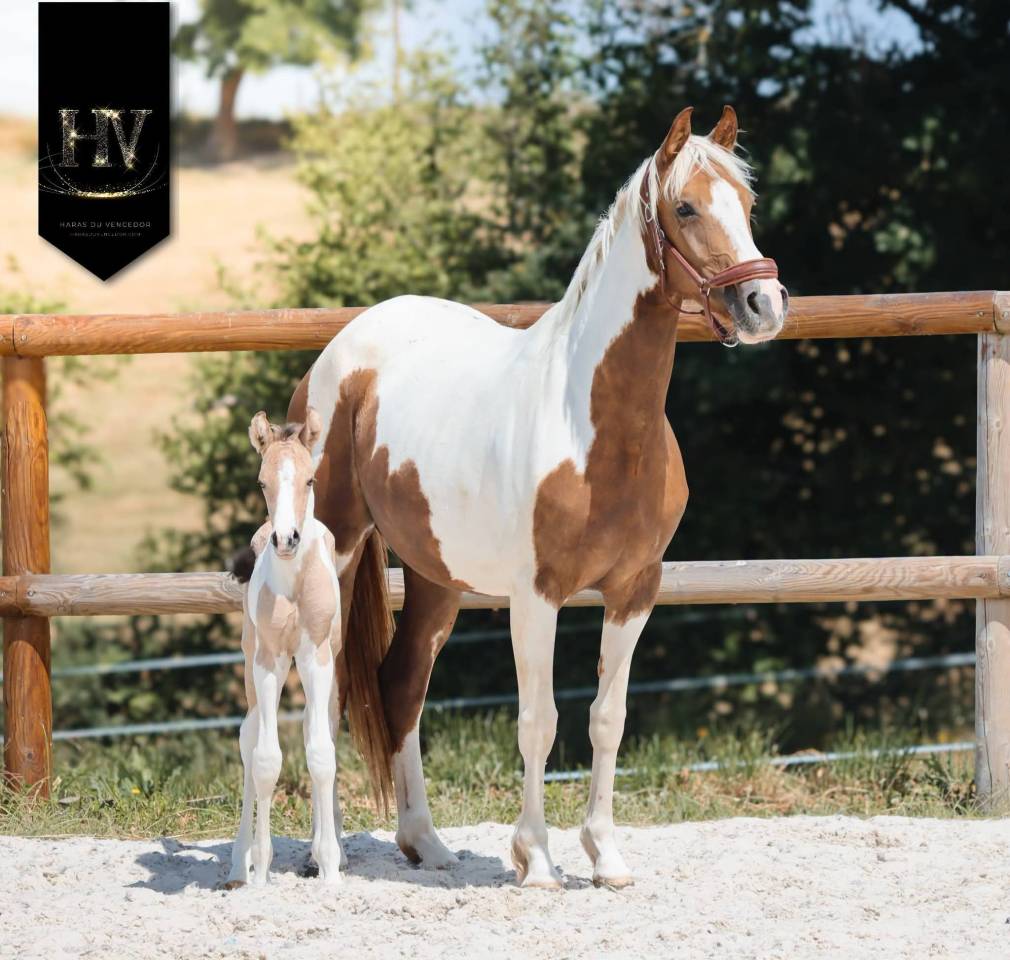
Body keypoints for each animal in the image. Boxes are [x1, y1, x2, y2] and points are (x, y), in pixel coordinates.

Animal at [226, 408, 347, 887]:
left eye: (310, 480)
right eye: (262, 482)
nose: (286, 540)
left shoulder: (315, 657)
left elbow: (320, 754)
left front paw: (330, 865)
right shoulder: (270, 661)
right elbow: (264, 758)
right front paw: (259, 870)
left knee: (322, 731)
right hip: (250, 666)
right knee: (247, 736)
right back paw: (238, 864)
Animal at [285, 105, 788, 888]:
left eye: (748, 203)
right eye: (685, 207)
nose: (764, 304)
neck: (594, 424)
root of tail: (340, 354)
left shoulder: (636, 589)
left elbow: (607, 718)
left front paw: (606, 856)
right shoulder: (537, 595)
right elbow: (539, 721)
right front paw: (538, 859)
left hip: (436, 579)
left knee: (400, 685)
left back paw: (427, 844)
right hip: (333, 553)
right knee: (327, 688)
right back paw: (325, 851)